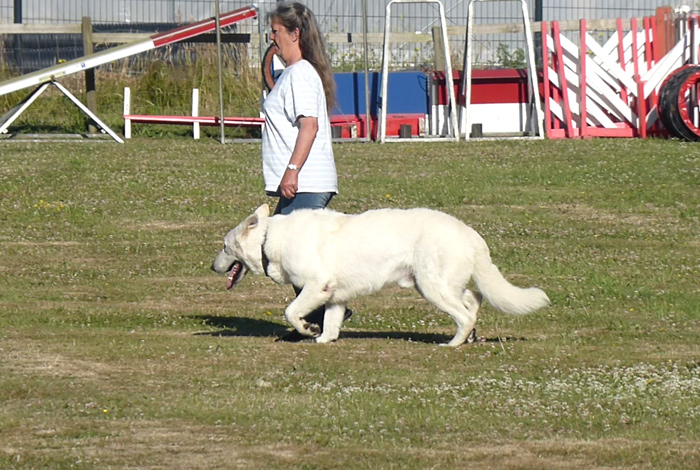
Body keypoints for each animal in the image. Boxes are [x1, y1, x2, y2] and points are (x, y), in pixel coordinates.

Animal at [211, 204, 548, 346]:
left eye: (224, 247)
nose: (212, 266)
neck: (269, 239)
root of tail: (468, 232)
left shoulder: (317, 287)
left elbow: (291, 312)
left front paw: (307, 329)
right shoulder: (334, 297)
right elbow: (331, 325)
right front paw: (322, 339)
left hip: (432, 287)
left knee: (465, 315)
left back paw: (453, 343)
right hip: (442, 284)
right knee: (474, 298)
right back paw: (470, 335)